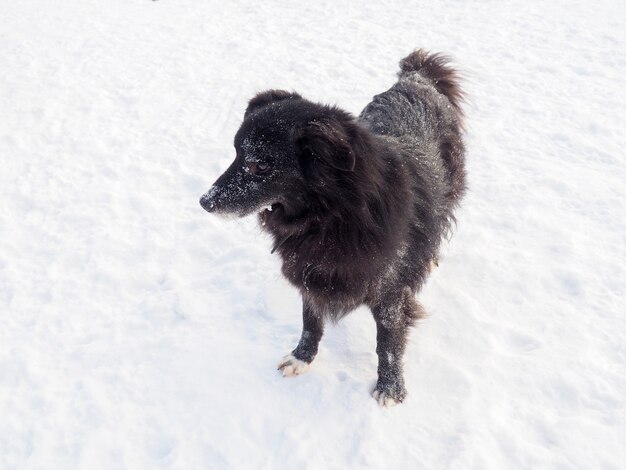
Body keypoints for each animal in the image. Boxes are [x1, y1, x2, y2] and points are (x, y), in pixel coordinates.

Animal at [200, 49, 464, 406]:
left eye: (261, 165)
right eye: (236, 154)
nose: (204, 201)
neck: (333, 217)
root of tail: (417, 78)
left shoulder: (390, 292)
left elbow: (388, 343)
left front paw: (390, 387)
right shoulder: (311, 271)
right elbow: (310, 321)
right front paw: (301, 358)